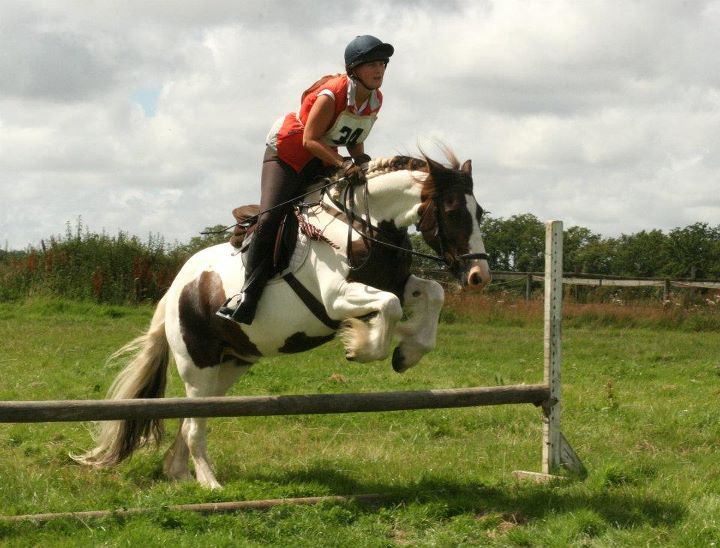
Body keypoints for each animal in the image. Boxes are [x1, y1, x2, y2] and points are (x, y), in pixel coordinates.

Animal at [74, 151, 491, 488]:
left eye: (480, 213)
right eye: (452, 211)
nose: (478, 276)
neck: (368, 226)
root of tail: (177, 289)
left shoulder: (399, 283)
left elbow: (431, 295)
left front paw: (407, 352)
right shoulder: (336, 299)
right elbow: (387, 307)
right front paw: (362, 344)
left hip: (231, 365)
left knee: (193, 418)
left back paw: (178, 474)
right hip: (198, 362)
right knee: (193, 425)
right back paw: (210, 484)